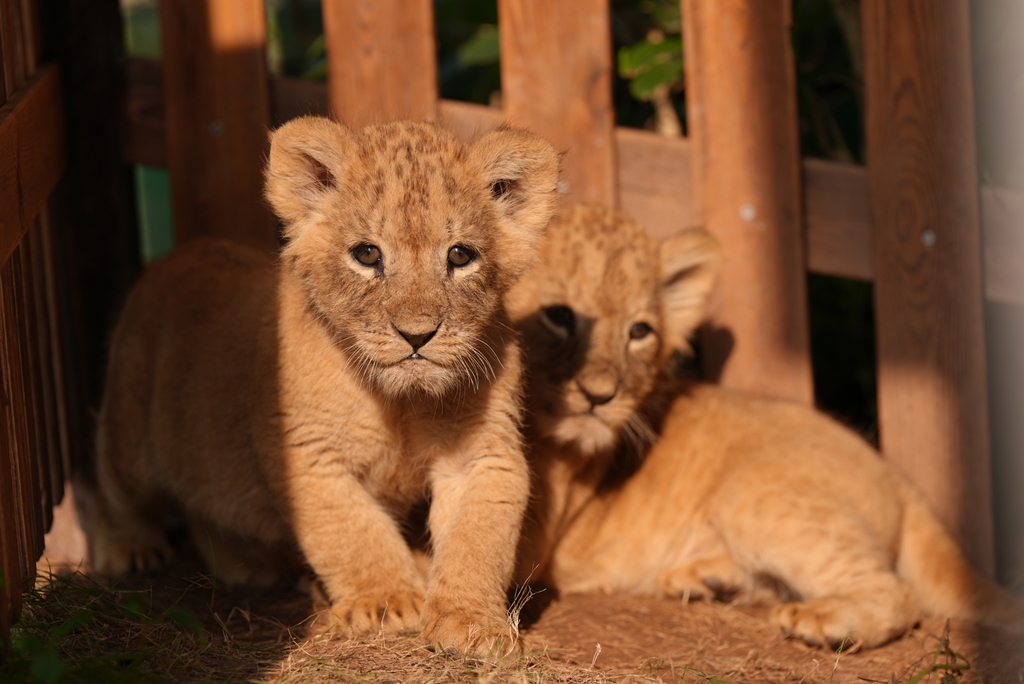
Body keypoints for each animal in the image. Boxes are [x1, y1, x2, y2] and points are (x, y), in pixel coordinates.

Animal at [86, 116, 560, 655]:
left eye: (460, 256)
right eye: (367, 254)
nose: (417, 335)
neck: (400, 401)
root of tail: (178, 252)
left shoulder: (482, 453)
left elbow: (479, 540)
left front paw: (471, 622)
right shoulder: (308, 454)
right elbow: (351, 530)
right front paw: (388, 602)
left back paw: (251, 564)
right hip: (131, 426)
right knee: (116, 482)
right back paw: (130, 549)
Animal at [507, 203, 1024, 650]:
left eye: (639, 332)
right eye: (559, 315)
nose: (601, 396)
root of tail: (897, 476)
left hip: (753, 496)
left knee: (898, 591)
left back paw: (825, 620)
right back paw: (710, 581)